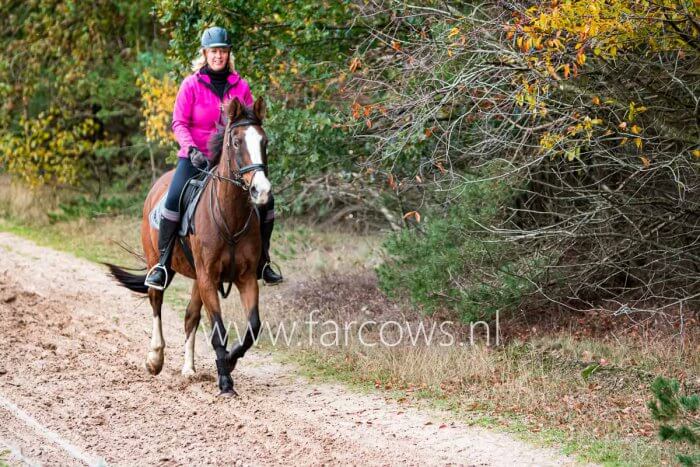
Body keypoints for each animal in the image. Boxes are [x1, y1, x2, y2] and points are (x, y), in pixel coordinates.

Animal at [106, 97, 270, 396]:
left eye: (264, 142)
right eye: (236, 142)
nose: (261, 191)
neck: (230, 217)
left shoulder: (244, 278)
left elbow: (252, 327)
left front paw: (228, 362)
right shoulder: (208, 278)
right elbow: (218, 330)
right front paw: (225, 381)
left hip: (196, 278)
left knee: (190, 316)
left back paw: (189, 369)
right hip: (157, 263)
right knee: (156, 301)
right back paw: (155, 359)